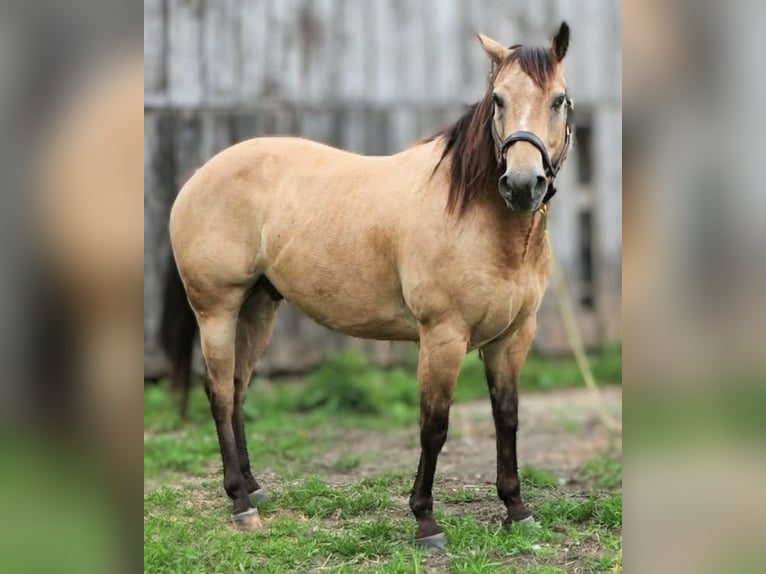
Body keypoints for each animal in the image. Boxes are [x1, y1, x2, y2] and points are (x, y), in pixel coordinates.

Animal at [169, 22, 573, 549]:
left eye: (559, 100)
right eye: (499, 100)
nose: (523, 185)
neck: (474, 215)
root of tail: (199, 175)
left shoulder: (513, 337)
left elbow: (507, 417)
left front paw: (517, 510)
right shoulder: (442, 336)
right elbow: (434, 425)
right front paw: (426, 522)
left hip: (257, 307)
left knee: (237, 388)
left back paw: (253, 489)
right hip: (217, 309)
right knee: (218, 390)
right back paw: (239, 503)